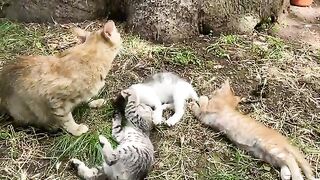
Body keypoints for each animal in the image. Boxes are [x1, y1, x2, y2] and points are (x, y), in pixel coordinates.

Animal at [190, 80, 318, 180]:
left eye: (217, 89)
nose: (212, 92)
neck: (227, 103)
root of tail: (284, 139)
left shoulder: (207, 111)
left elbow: (201, 104)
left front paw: (196, 101)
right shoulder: (205, 118)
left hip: (270, 147)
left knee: (290, 158)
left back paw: (297, 177)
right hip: (265, 154)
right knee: (285, 161)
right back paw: (286, 175)